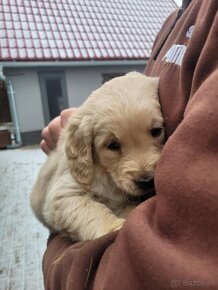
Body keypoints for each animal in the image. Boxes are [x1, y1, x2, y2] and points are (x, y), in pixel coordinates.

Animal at [30, 72, 164, 240]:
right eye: (112, 145)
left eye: (156, 131)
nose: (146, 181)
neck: (106, 174)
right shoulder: (64, 193)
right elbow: (91, 211)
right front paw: (114, 227)